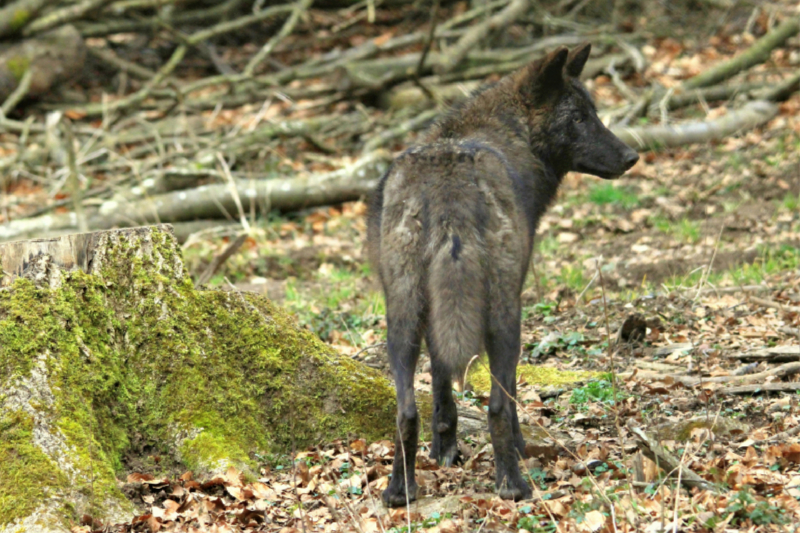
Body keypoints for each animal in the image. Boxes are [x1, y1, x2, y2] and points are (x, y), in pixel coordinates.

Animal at [368, 43, 636, 504]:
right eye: (579, 118)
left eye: (594, 112)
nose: (631, 157)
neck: (506, 135)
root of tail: (449, 180)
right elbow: (507, 401)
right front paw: (519, 448)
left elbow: (441, 385)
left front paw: (443, 448)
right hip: (506, 316)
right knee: (497, 404)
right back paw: (513, 484)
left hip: (401, 323)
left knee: (406, 411)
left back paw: (400, 491)